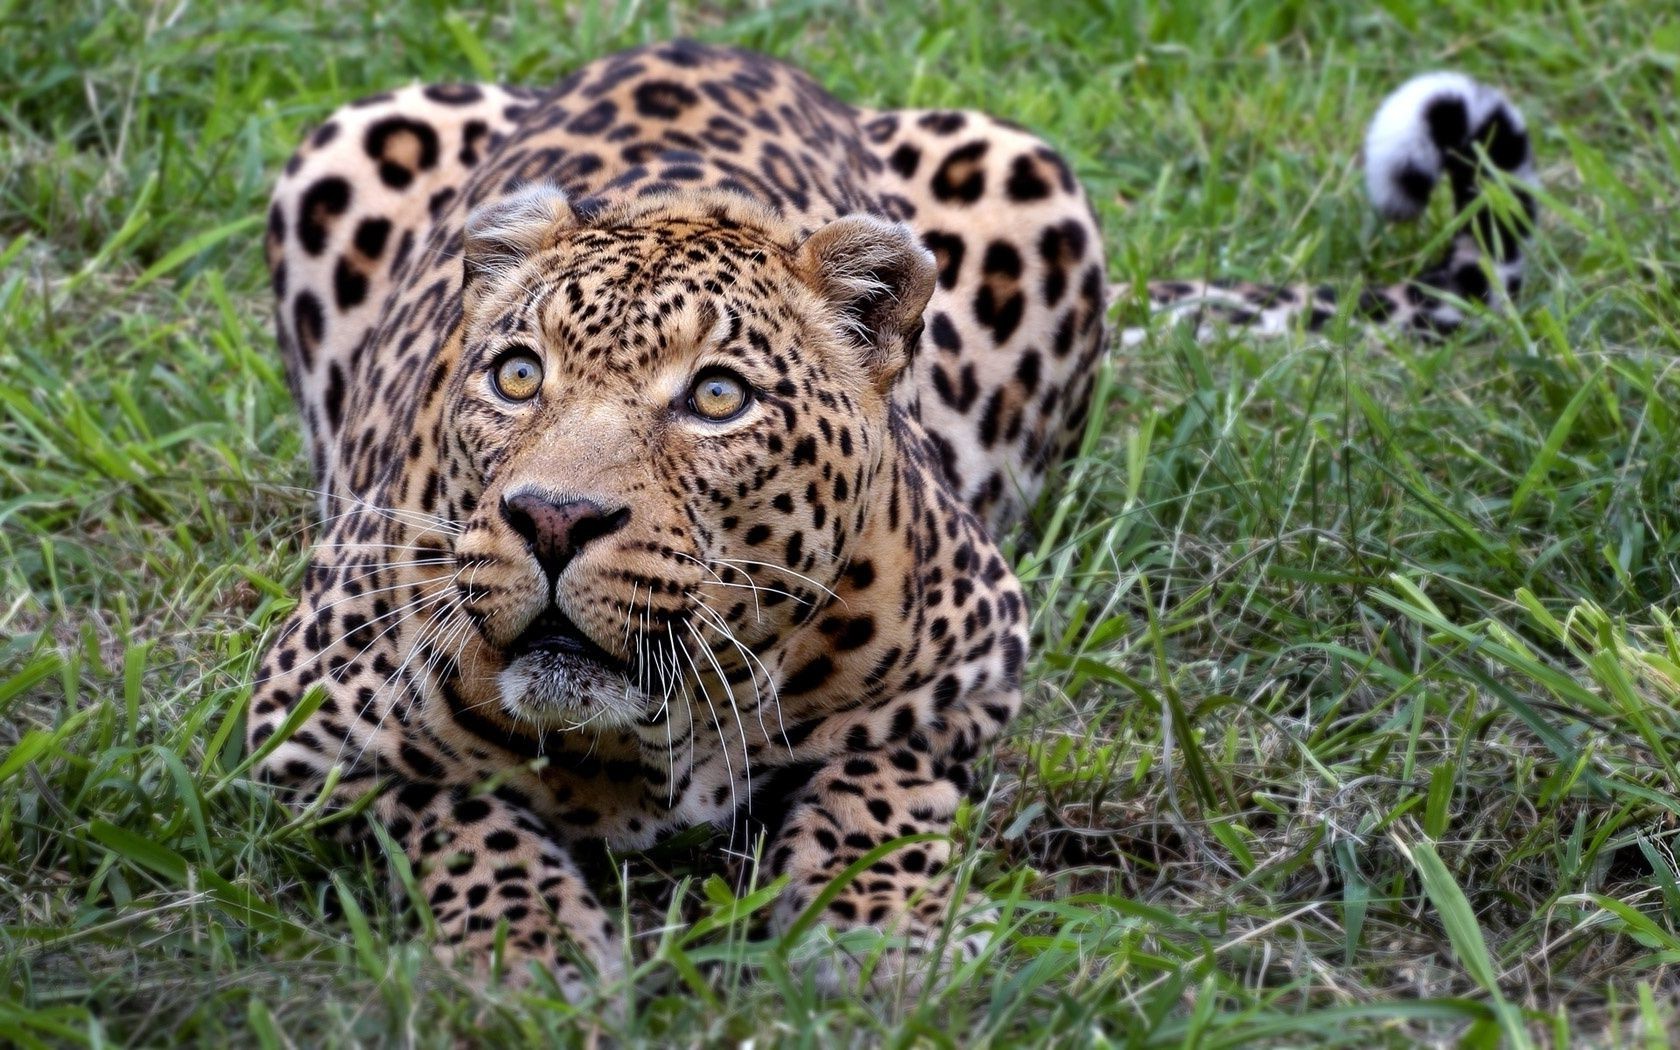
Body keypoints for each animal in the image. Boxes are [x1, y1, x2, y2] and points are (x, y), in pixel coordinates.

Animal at [248, 38, 1538, 987]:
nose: (554, 520)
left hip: (1024, 170)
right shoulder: (298, 728)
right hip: (346, 140)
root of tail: (700, 39)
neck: (655, 736)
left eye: (716, 397)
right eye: (518, 376)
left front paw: (881, 934)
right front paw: (530, 951)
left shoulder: (975, 663)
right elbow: (457, 809)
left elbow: (881, 777)